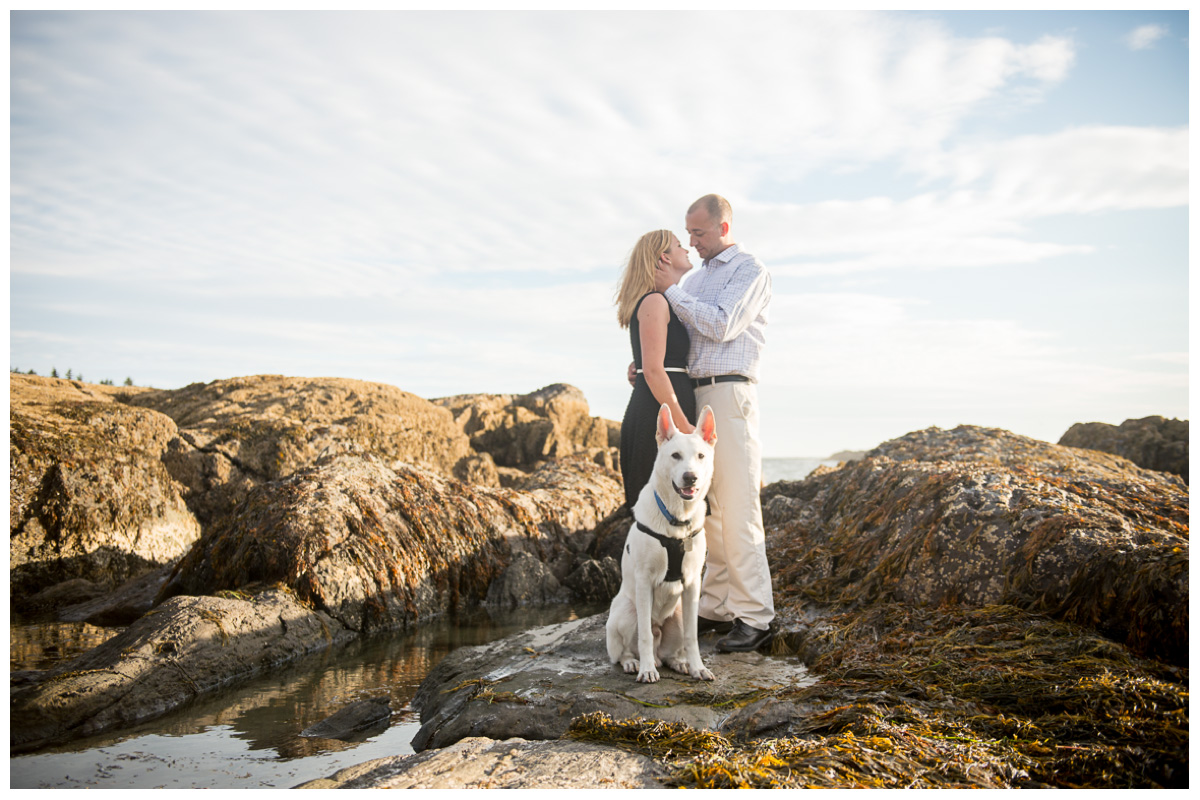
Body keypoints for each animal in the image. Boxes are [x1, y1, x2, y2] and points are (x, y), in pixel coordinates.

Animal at [604, 402, 715, 686]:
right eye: (675, 455)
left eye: (701, 456)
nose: (690, 477)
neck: (677, 520)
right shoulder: (644, 582)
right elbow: (643, 635)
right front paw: (645, 670)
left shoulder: (692, 584)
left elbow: (692, 637)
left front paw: (698, 666)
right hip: (624, 611)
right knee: (626, 649)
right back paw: (635, 662)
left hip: (678, 614)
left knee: (668, 653)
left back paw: (680, 662)